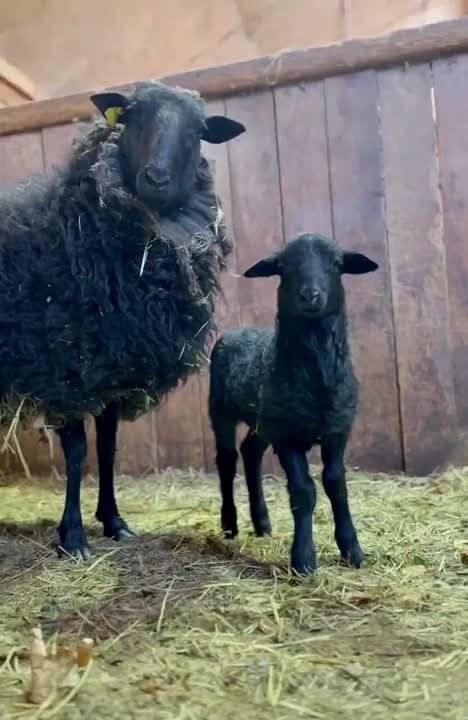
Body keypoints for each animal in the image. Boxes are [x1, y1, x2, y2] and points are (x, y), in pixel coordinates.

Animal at [0, 81, 247, 560]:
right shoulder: (67, 370)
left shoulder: (116, 369)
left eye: (198, 132)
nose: (156, 179)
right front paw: (73, 537)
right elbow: (78, 452)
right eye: (132, 117)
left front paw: (114, 521)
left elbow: (109, 448)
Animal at [210, 233, 378, 572]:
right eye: (284, 267)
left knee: (250, 452)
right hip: (220, 411)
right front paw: (303, 560)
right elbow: (303, 491)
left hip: (264, 420)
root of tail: (238, 331)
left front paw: (352, 550)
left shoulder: (337, 431)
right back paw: (230, 525)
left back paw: (262, 523)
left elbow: (336, 485)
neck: (317, 381)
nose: (310, 296)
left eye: (337, 264)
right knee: (227, 461)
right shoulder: (288, 437)